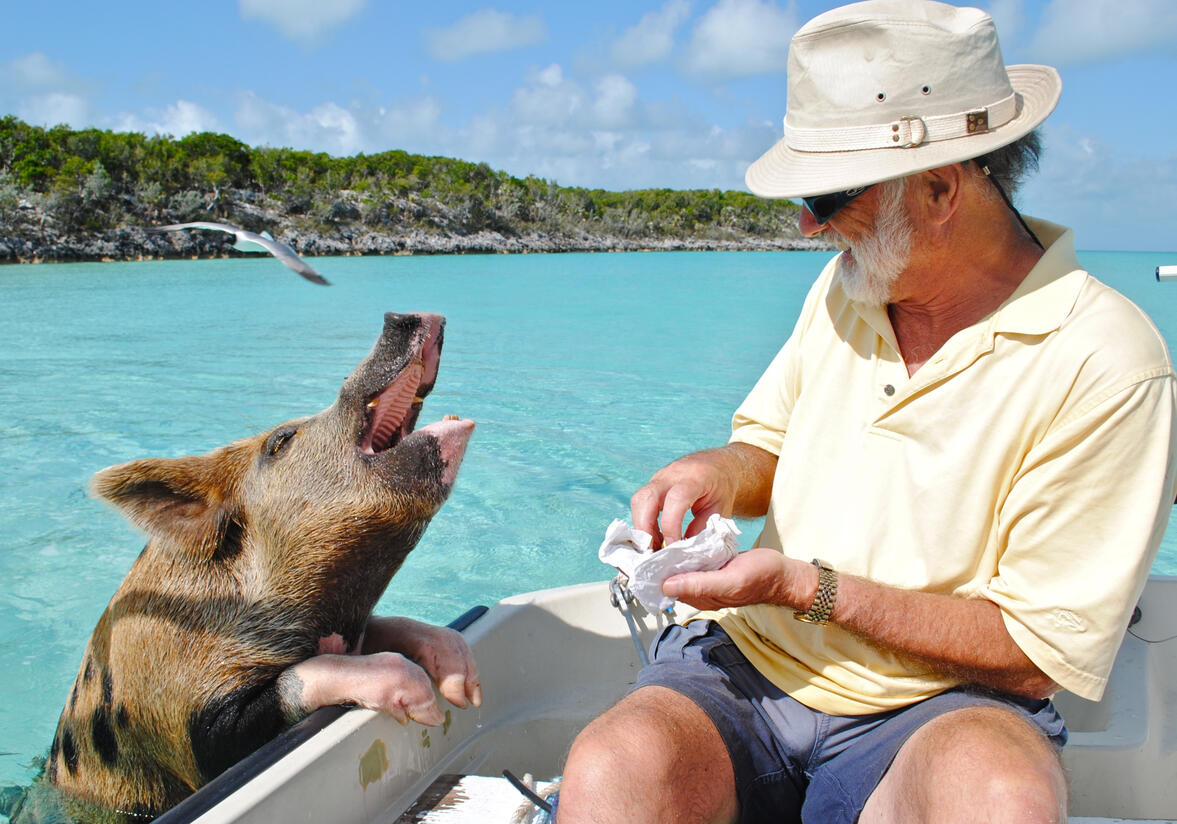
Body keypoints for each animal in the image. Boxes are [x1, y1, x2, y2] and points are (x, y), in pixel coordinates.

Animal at [16, 312, 479, 823]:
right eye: (281, 440)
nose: (400, 316)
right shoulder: (190, 728)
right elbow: (288, 686)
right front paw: (425, 703)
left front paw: (465, 684)